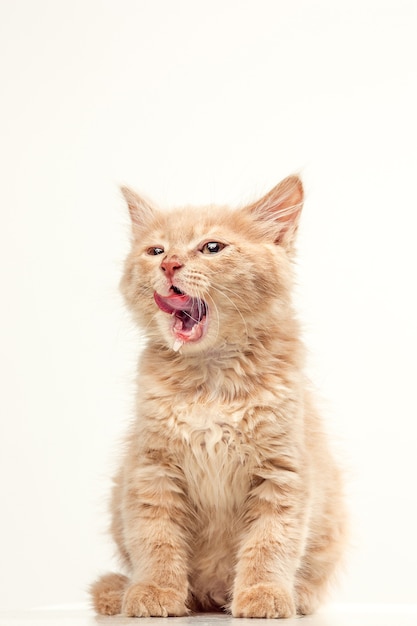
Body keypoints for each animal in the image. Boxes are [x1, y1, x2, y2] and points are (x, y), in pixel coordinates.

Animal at [89, 173, 346, 616]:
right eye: (156, 250)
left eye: (212, 247)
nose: (169, 264)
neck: (211, 381)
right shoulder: (152, 469)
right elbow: (155, 539)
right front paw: (154, 592)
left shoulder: (283, 471)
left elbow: (270, 542)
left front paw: (264, 595)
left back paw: (298, 596)